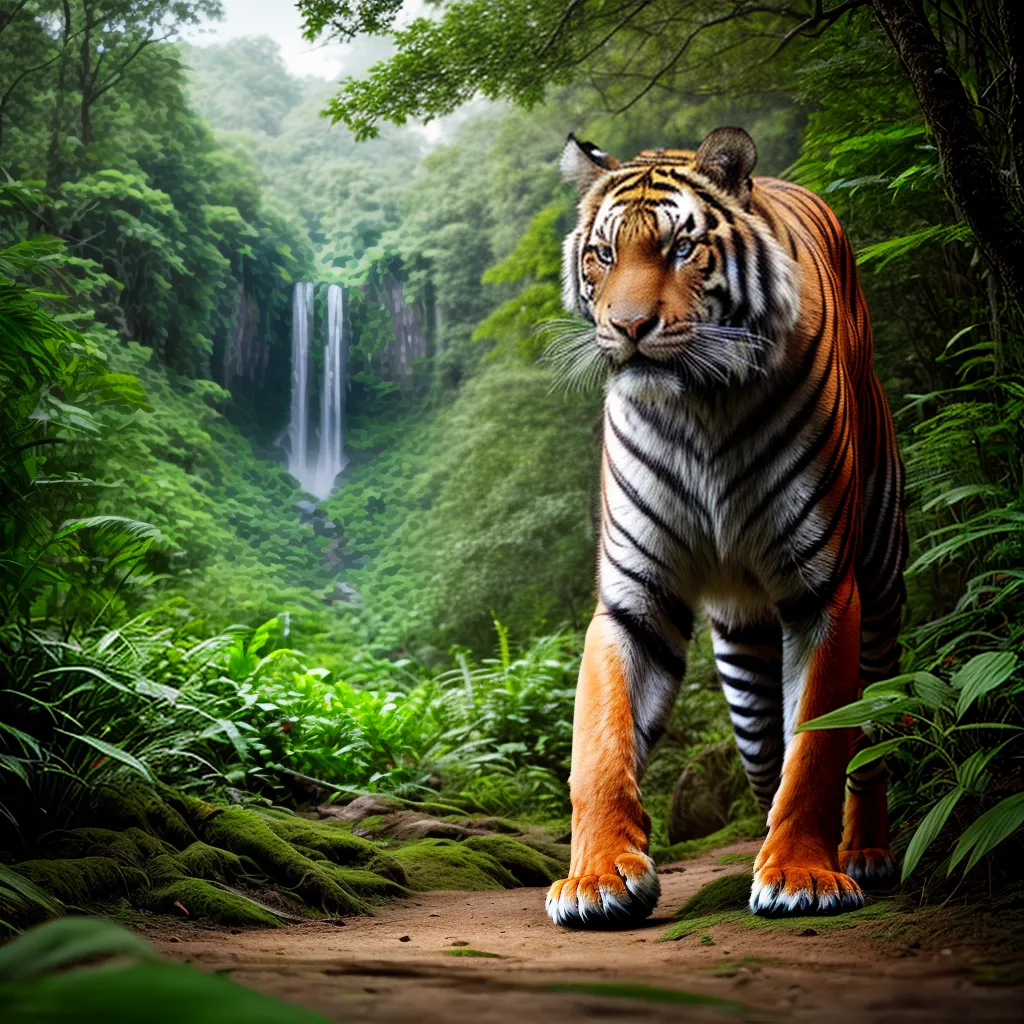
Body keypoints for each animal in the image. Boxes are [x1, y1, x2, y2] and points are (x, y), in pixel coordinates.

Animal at [545, 127, 907, 926]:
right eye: (604, 254)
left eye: (681, 248)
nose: (629, 328)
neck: (698, 409)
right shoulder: (635, 599)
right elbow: (600, 748)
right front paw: (596, 879)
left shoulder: (822, 589)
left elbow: (820, 746)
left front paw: (802, 874)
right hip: (741, 653)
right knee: (763, 745)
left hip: (881, 588)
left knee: (877, 727)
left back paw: (864, 850)